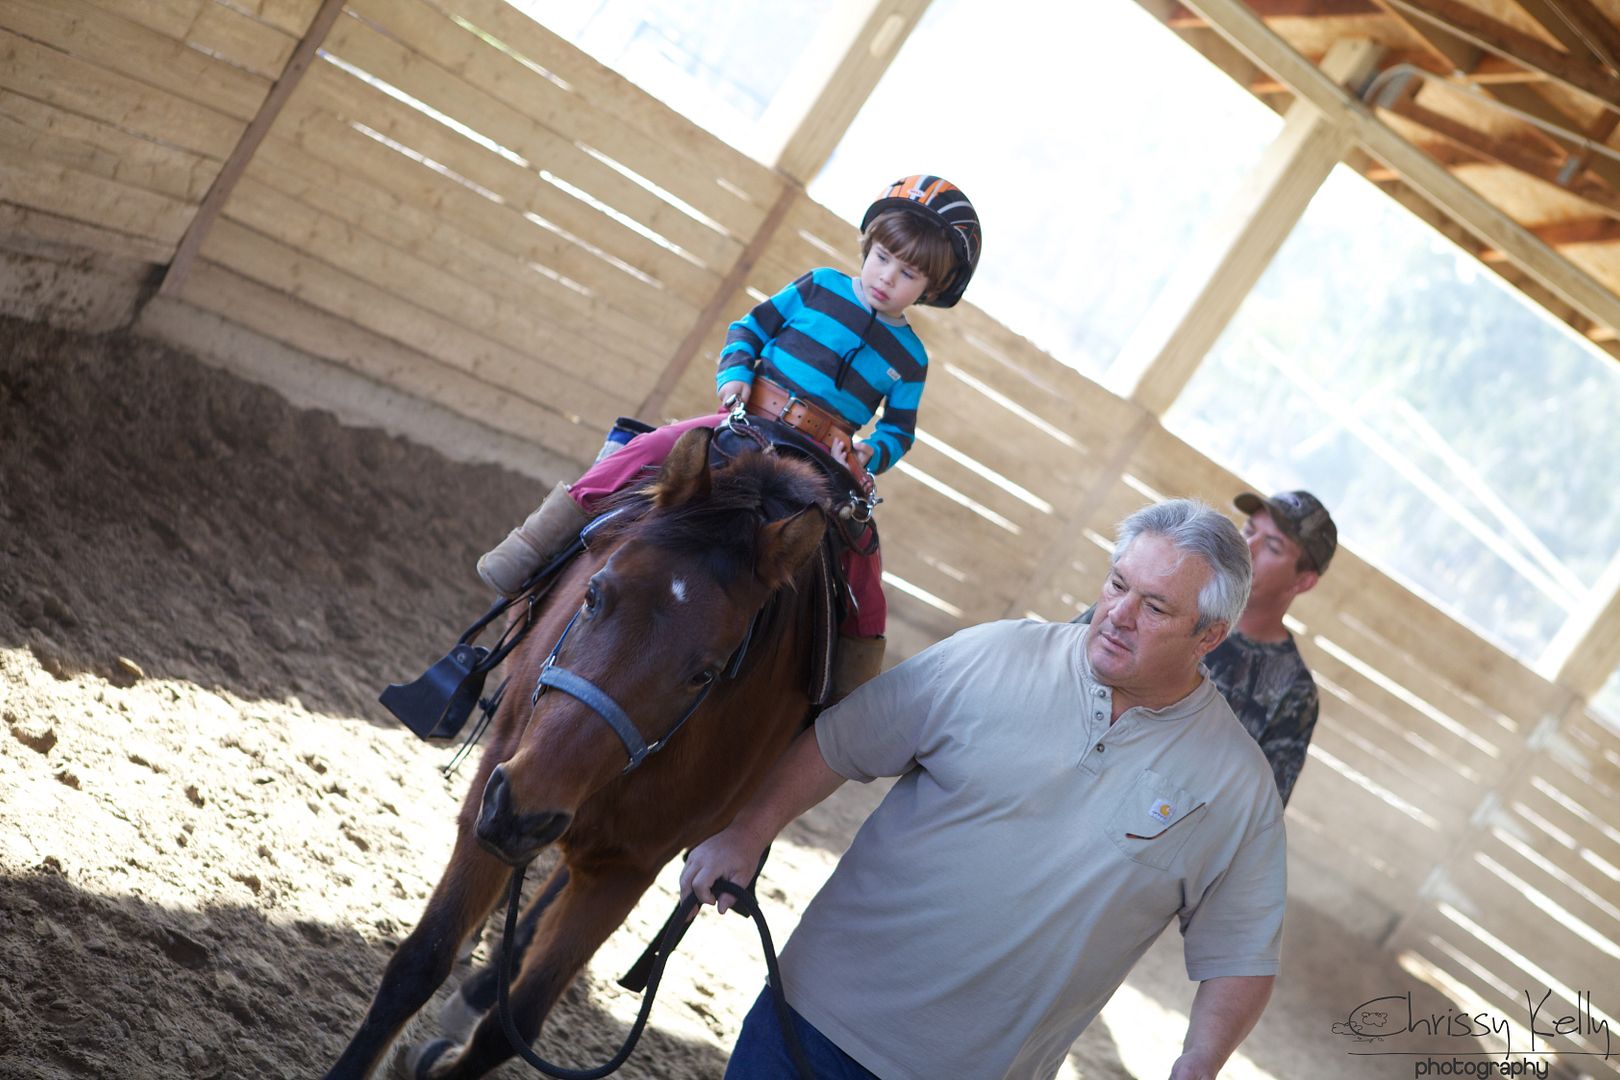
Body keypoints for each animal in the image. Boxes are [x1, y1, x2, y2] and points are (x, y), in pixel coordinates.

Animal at [322, 430, 829, 1080]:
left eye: (706, 674)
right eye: (592, 594)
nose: (524, 814)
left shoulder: (631, 866)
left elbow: (515, 1025)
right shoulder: (499, 779)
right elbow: (419, 962)